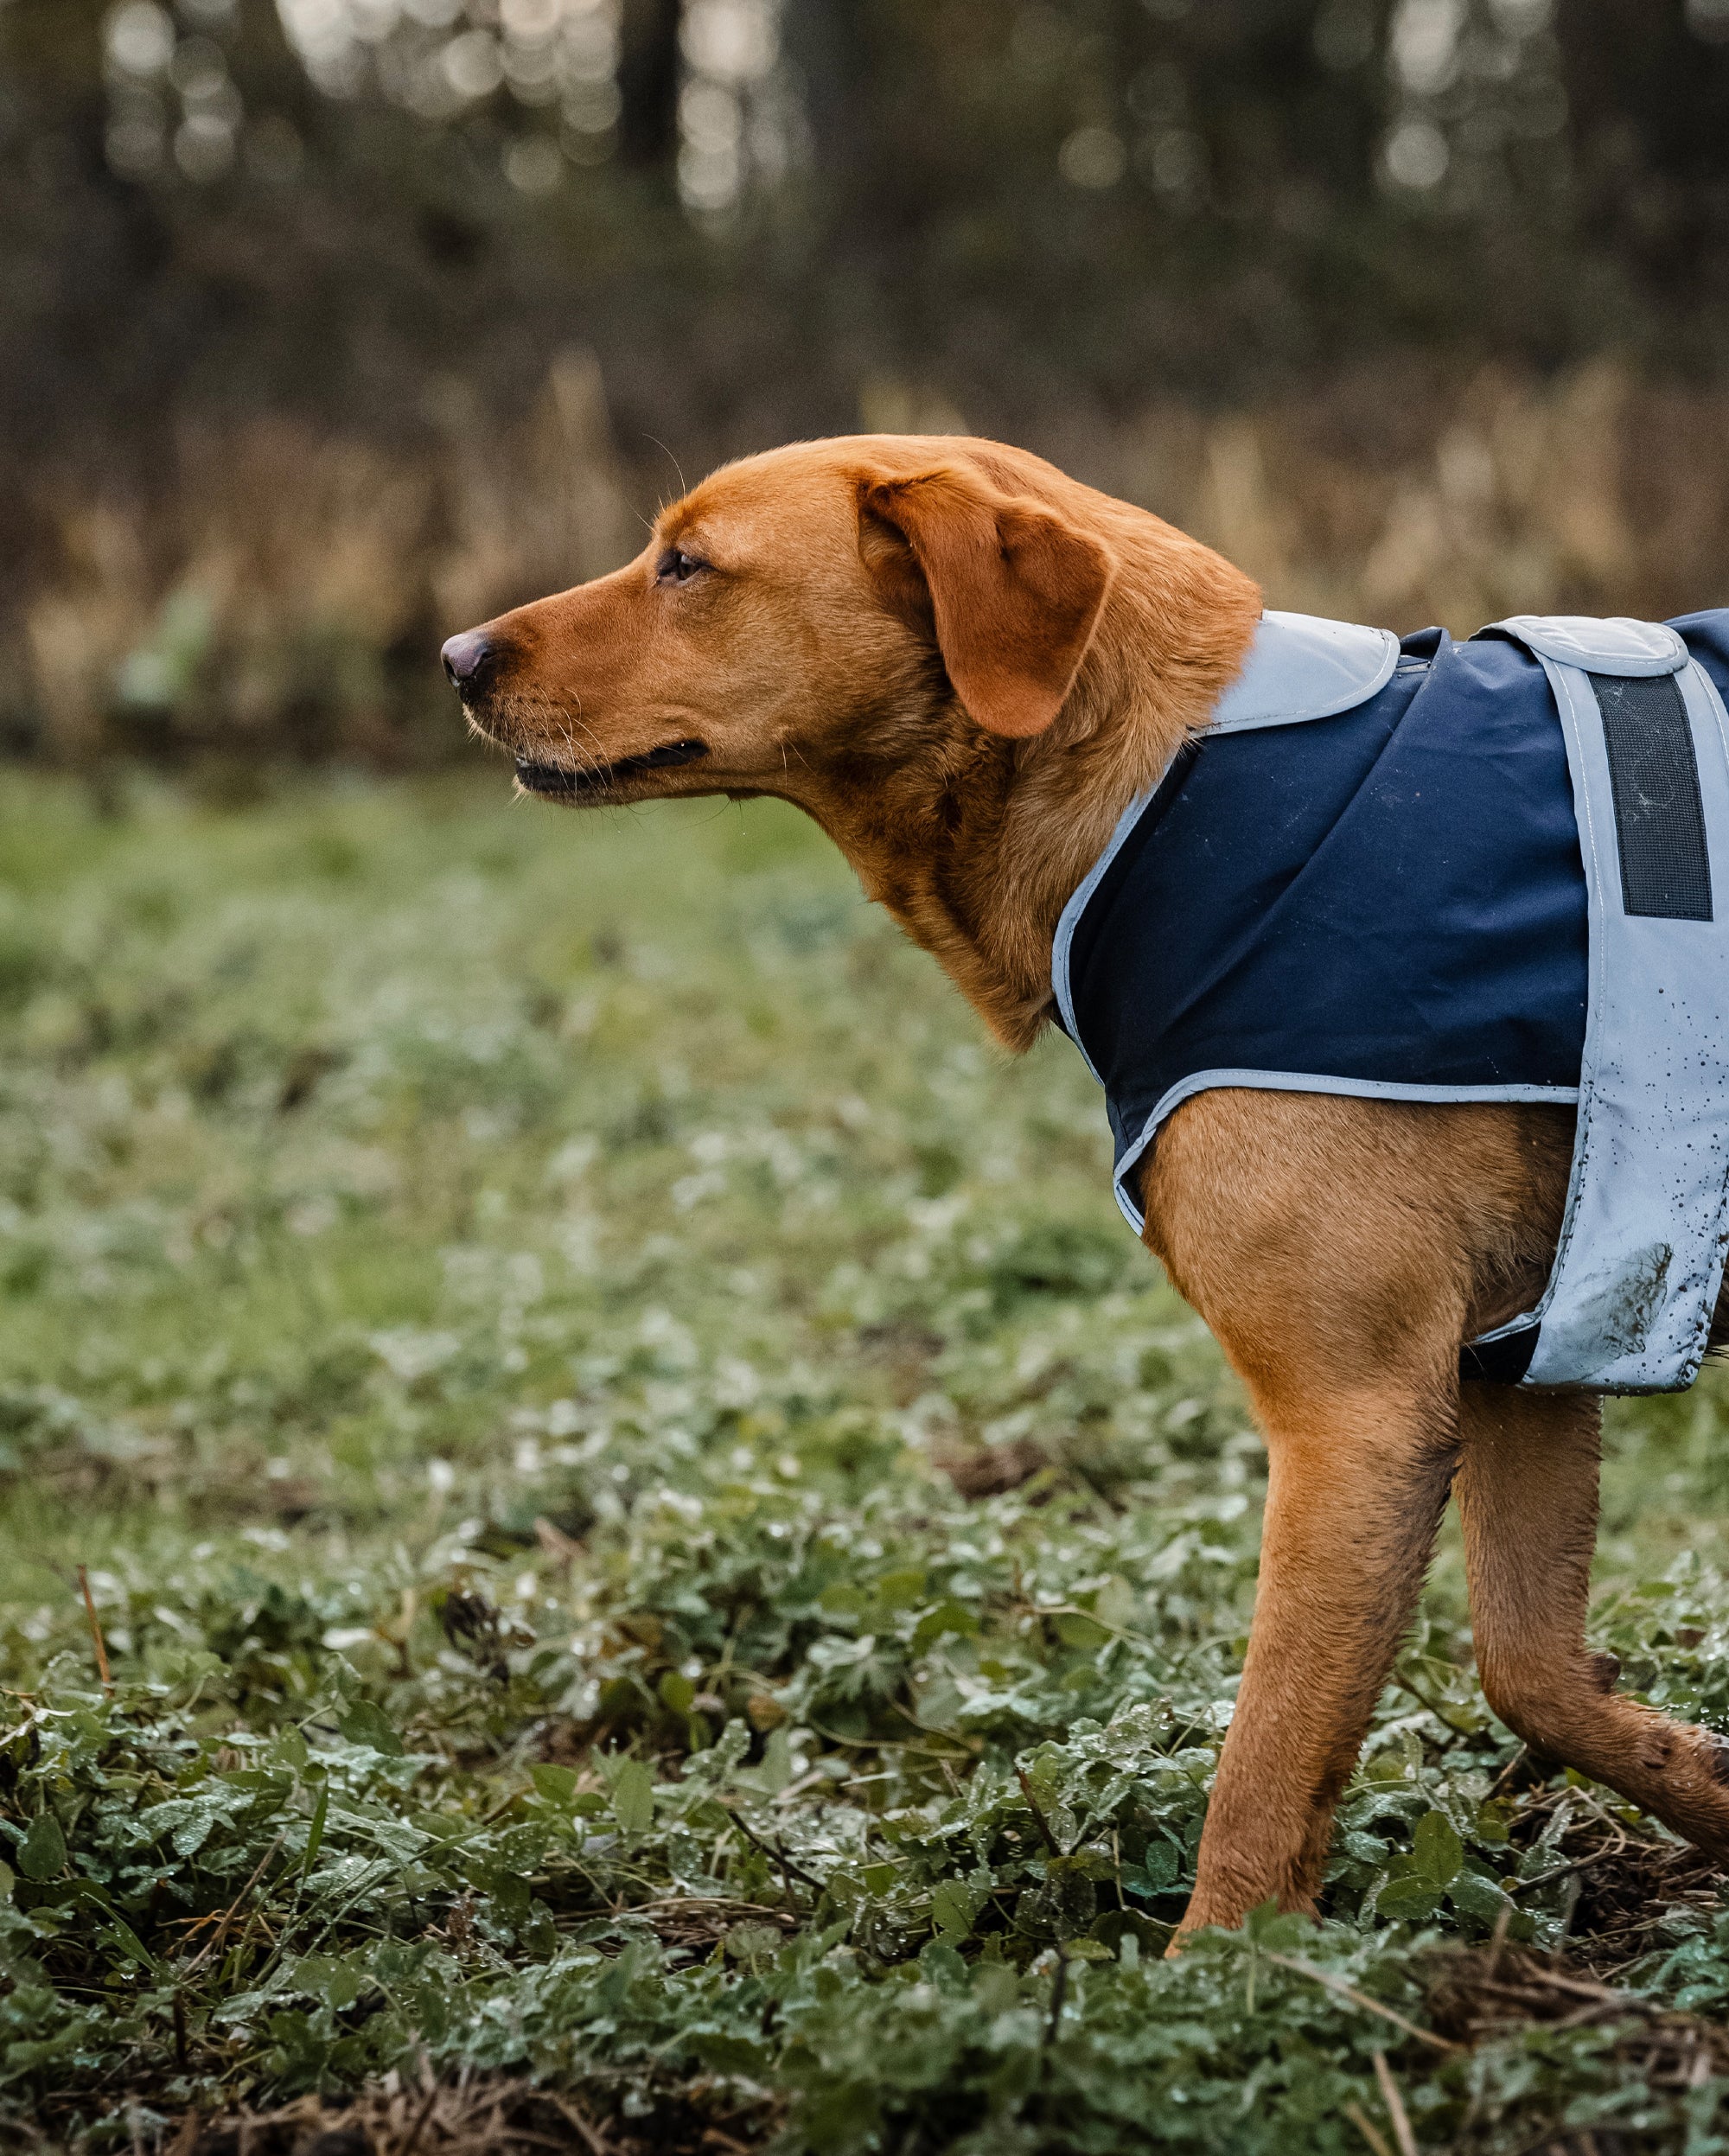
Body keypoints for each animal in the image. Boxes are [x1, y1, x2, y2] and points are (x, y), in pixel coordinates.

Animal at [435, 437, 1729, 1940]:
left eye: (687, 564)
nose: (455, 655)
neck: (1156, 791)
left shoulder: (1356, 1417)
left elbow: (1263, 1781)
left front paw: (1221, 1977)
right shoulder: (1522, 1356)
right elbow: (1537, 1677)